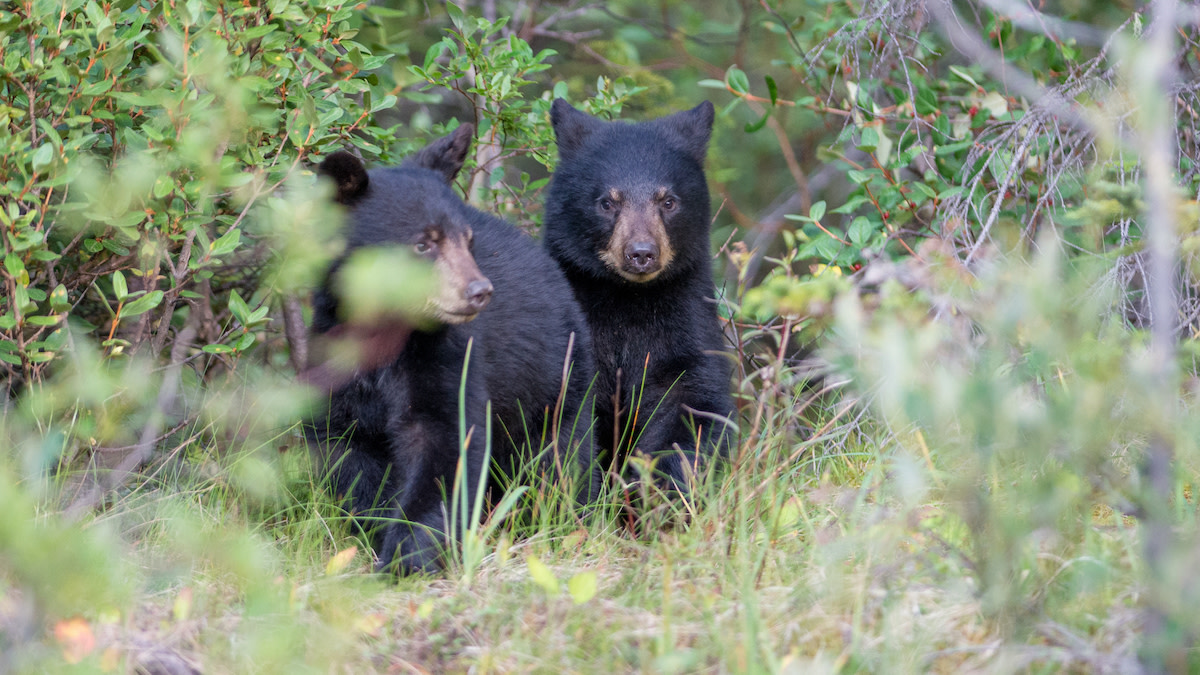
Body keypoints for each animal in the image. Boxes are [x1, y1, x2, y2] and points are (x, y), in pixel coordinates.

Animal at [304, 124, 598, 574]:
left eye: (468, 240)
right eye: (424, 244)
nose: (479, 291)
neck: (381, 329)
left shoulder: (446, 356)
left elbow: (445, 440)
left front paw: (405, 557)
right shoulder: (336, 357)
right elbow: (349, 450)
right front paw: (373, 533)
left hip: (557, 378)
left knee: (560, 459)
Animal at [542, 99, 736, 494]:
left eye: (669, 201)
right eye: (607, 202)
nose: (641, 253)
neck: (625, 297)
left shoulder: (685, 320)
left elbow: (692, 404)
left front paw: (658, 488)